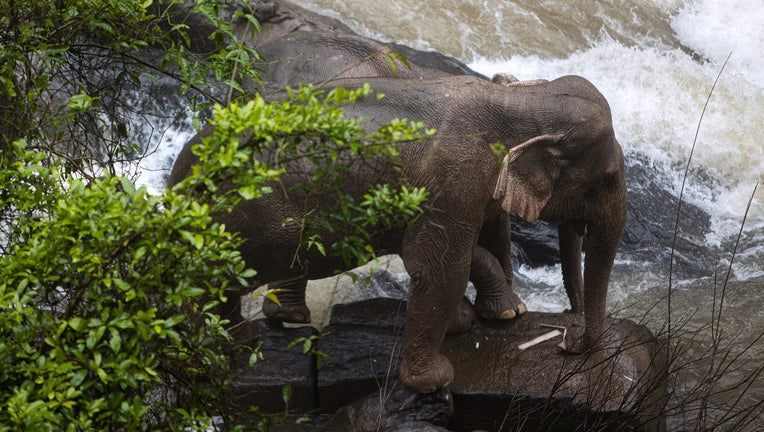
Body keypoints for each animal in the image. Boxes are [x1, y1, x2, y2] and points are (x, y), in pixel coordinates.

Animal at [169, 75, 628, 394]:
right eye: (605, 177)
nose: (566, 342)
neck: (522, 101)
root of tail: (180, 173)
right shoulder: (453, 179)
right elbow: (438, 267)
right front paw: (437, 380)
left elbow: (452, 254)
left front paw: (491, 316)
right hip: (248, 217)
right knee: (219, 276)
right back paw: (223, 350)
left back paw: (258, 331)